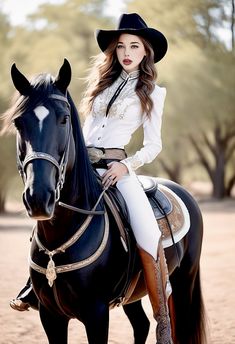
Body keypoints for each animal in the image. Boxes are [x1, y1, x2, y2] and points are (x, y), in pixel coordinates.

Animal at [2, 60, 207, 342]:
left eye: (64, 119)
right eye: (19, 122)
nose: (39, 198)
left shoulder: (96, 314)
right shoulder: (50, 316)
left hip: (184, 280)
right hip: (134, 294)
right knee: (141, 324)